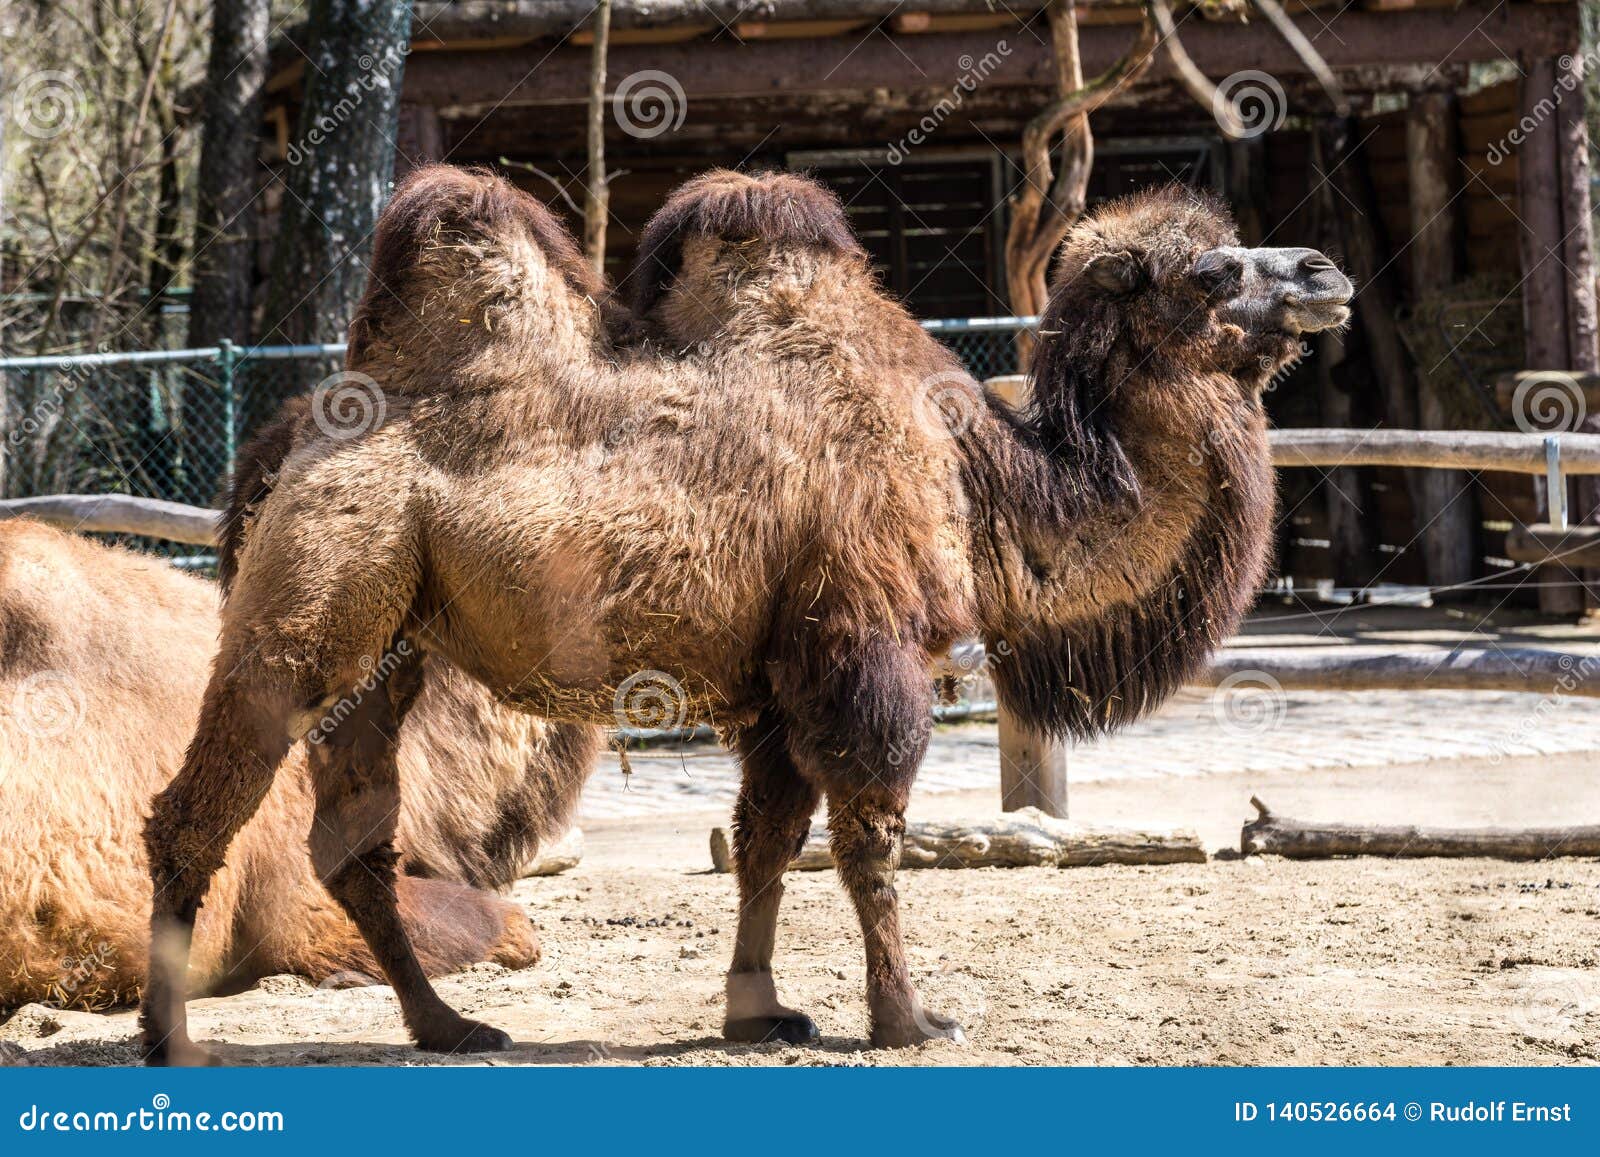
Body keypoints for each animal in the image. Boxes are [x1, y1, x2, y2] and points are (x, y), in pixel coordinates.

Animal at [144, 167, 1350, 1062]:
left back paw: (449, 1025)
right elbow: (869, 836)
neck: (982, 474)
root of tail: (290, 433)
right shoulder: (864, 646)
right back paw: (175, 1045)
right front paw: (909, 1019)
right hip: (312, 602)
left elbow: (769, 839)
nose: (1326, 271)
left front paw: (758, 1009)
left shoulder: (779, 677)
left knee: (354, 836)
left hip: (392, 641)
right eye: (1213, 269)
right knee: (200, 804)